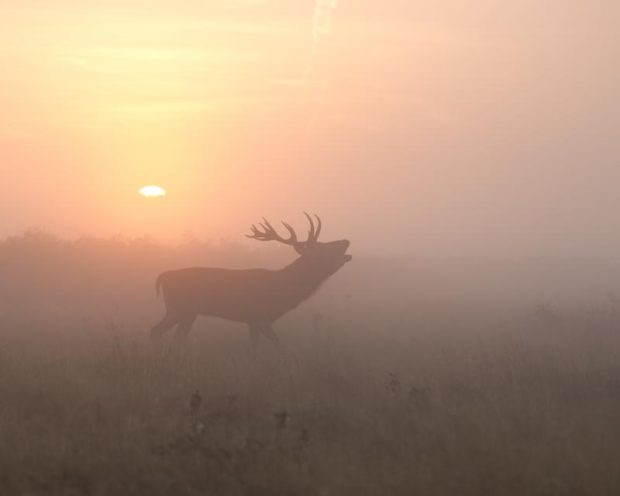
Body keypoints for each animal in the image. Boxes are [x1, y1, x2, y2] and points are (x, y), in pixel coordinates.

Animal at [151, 214, 352, 348]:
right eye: (323, 248)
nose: (346, 240)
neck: (283, 290)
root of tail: (164, 275)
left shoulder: (253, 321)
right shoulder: (260, 317)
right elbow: (277, 345)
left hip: (183, 311)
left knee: (168, 334)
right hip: (182, 308)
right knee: (161, 332)